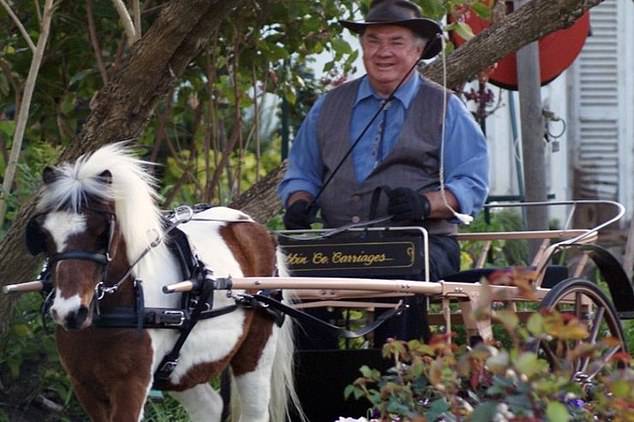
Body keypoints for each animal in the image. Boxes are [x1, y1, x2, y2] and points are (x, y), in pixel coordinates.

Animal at [25, 143, 302, 420]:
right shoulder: (85, 386)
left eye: (102, 232)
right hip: (181, 371)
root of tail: (253, 226)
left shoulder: (131, 385)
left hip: (257, 351)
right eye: (45, 234)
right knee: (210, 407)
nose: (69, 312)